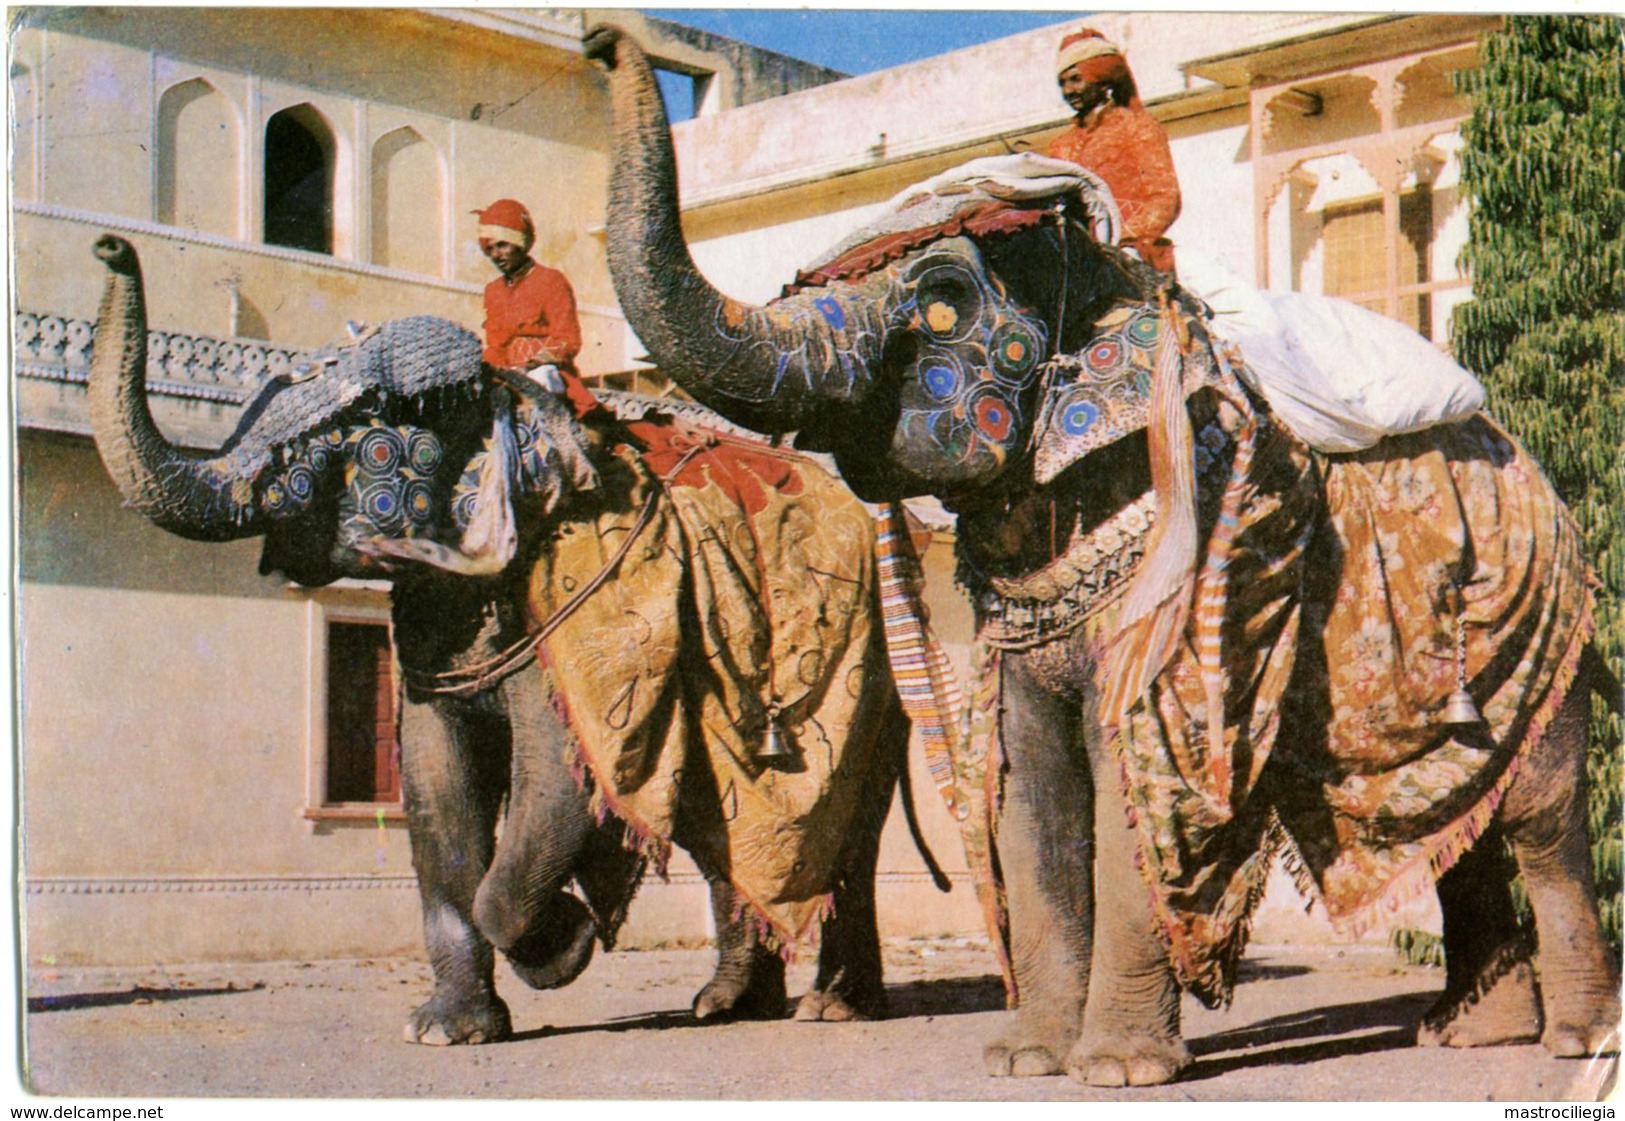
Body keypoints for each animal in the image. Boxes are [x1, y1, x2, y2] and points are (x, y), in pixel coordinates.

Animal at [92, 233, 929, 1039]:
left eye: (330, 448)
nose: (110, 248)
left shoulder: (571, 615)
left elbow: (558, 780)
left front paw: (572, 937)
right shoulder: (432, 619)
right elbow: (435, 782)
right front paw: (444, 1031)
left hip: (868, 675)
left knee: (843, 828)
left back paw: (830, 1007)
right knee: (728, 818)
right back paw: (724, 1005)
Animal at [581, 23, 1612, 1085]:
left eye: (943, 300)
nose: (604, 38)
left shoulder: (1182, 574)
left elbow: (1130, 764)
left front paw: (1115, 1070)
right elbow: (1030, 785)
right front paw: (1022, 1061)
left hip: (1537, 620)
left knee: (1537, 818)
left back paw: (1573, 1039)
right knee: (1458, 818)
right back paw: (1468, 1034)